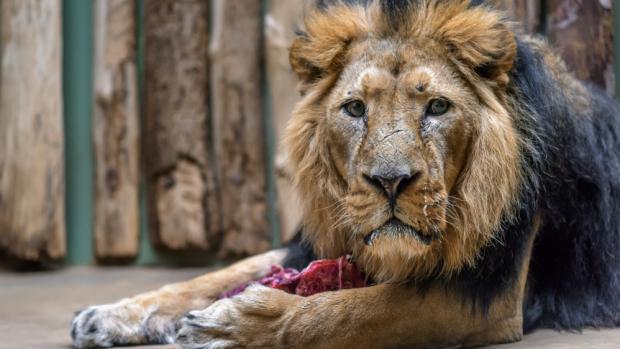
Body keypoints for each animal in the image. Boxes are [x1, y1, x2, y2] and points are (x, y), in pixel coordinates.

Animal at [70, 1, 620, 346]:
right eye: (355, 109)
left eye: (438, 107)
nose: (390, 182)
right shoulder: (311, 244)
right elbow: (217, 274)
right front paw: (112, 314)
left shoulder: (491, 297)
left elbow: (356, 310)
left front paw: (238, 325)